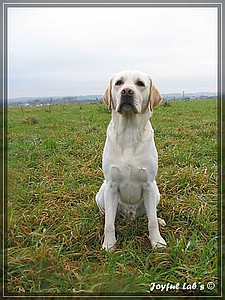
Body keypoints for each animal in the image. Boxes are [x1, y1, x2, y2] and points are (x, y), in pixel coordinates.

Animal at [96, 70, 166, 251]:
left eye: (140, 83)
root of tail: (130, 214)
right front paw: (109, 244)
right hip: (102, 192)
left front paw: (157, 242)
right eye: (119, 83)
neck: (129, 133)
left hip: (156, 192)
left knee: (150, 214)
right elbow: (109, 224)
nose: (127, 91)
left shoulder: (148, 184)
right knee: (108, 214)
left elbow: (152, 221)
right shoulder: (111, 185)